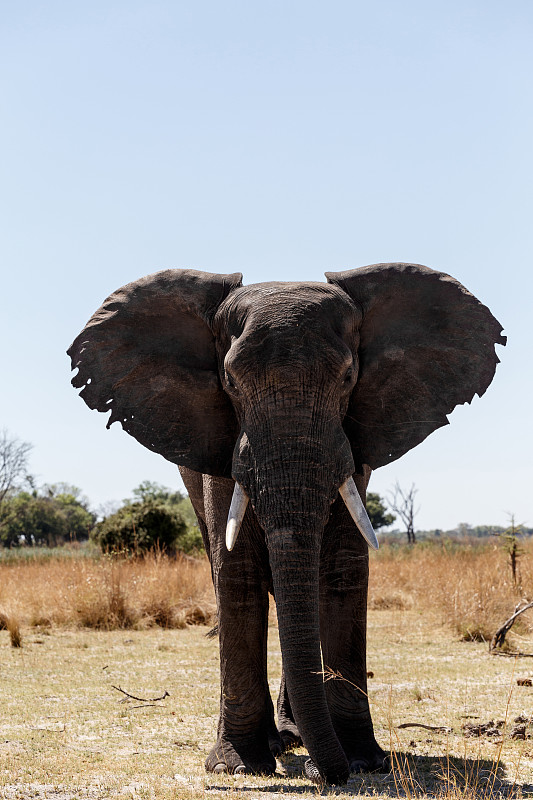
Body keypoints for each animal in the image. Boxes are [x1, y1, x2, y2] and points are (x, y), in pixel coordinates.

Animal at [68, 260, 504, 780]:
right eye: (230, 382)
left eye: (348, 377)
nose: (327, 773)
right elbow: (238, 575)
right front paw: (238, 766)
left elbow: (341, 571)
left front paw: (362, 758)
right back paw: (279, 743)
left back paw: (297, 736)